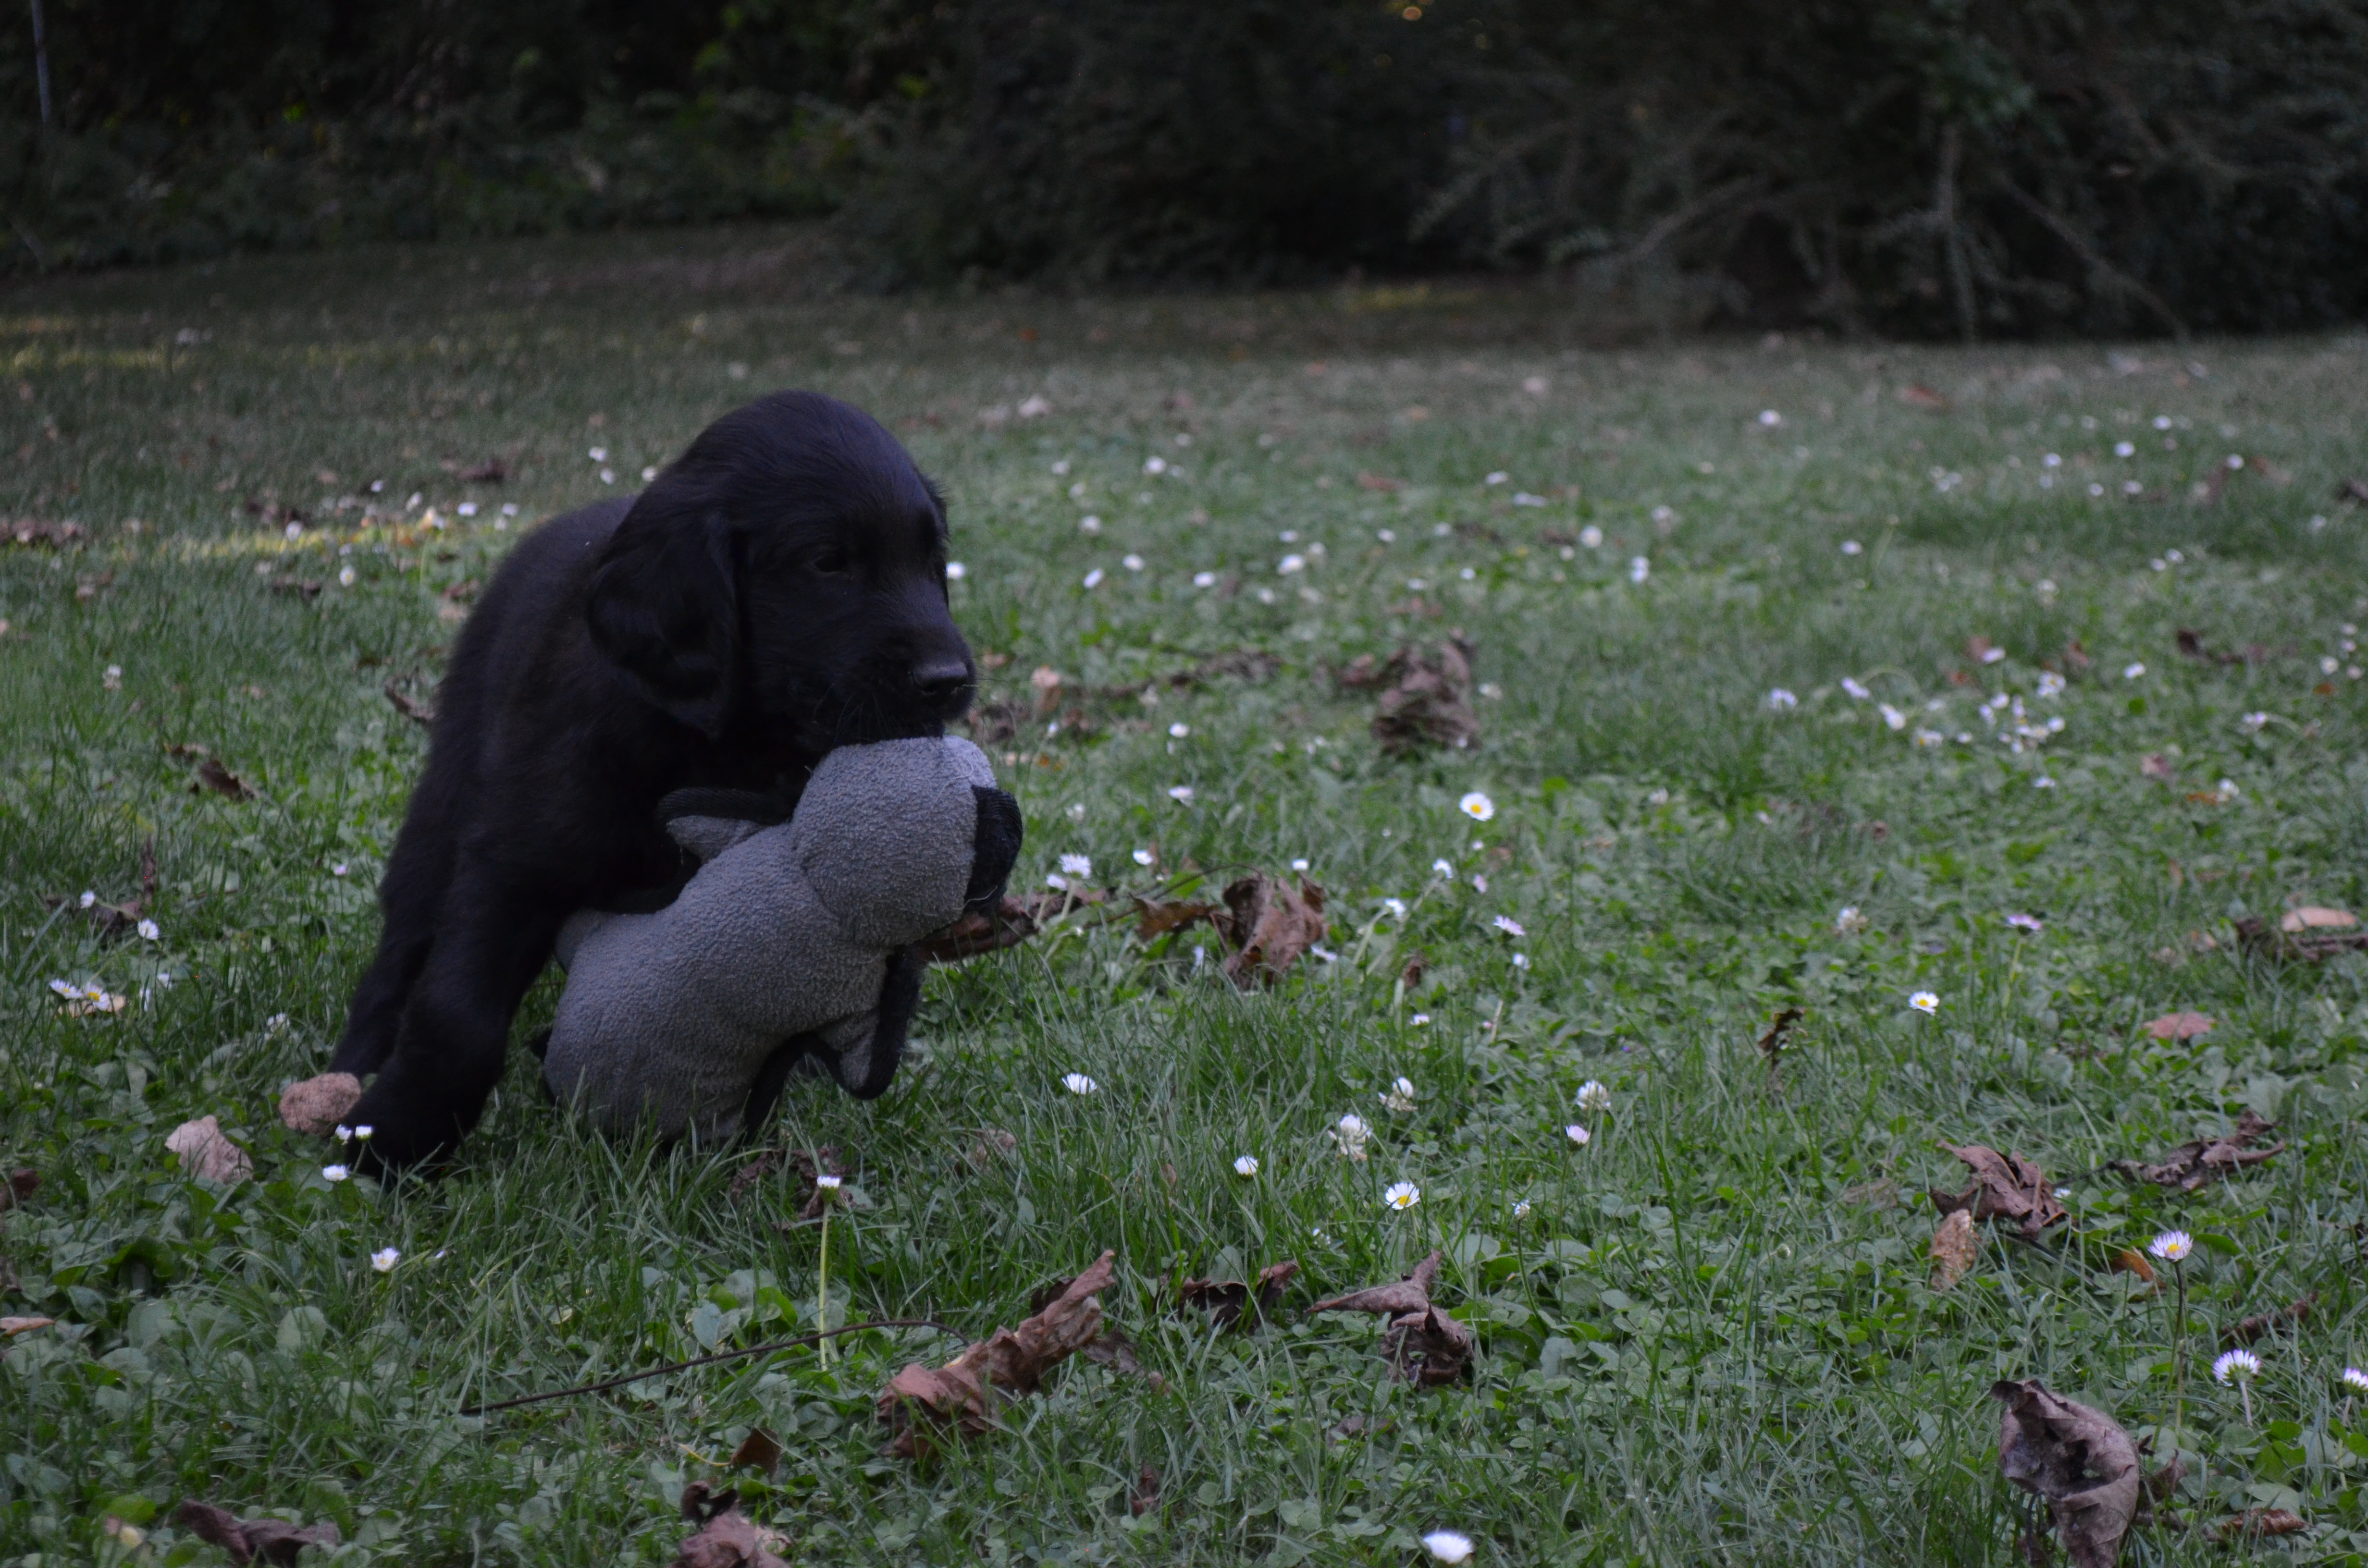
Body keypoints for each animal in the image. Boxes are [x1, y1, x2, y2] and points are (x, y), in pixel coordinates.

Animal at [328, 391, 976, 1169]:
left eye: (933, 561)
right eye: (828, 563)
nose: (949, 682)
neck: (708, 739)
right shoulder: (514, 858)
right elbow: (458, 1015)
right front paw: (389, 1139)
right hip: (447, 793)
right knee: (405, 939)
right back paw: (354, 1066)